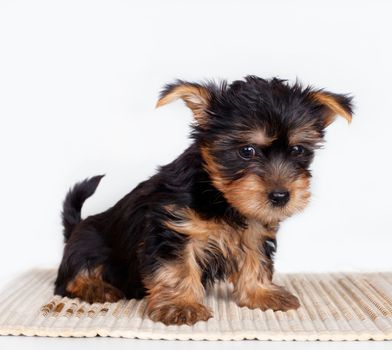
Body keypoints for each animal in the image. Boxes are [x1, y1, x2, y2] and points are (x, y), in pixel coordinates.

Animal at [54, 76, 352, 326]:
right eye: (247, 151)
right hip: (88, 244)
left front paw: (261, 292)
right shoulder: (173, 228)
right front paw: (180, 305)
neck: (221, 197)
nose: (280, 196)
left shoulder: (255, 231)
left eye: (298, 150)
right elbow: (177, 268)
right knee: (71, 277)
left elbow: (256, 261)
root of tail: (77, 227)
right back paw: (96, 287)